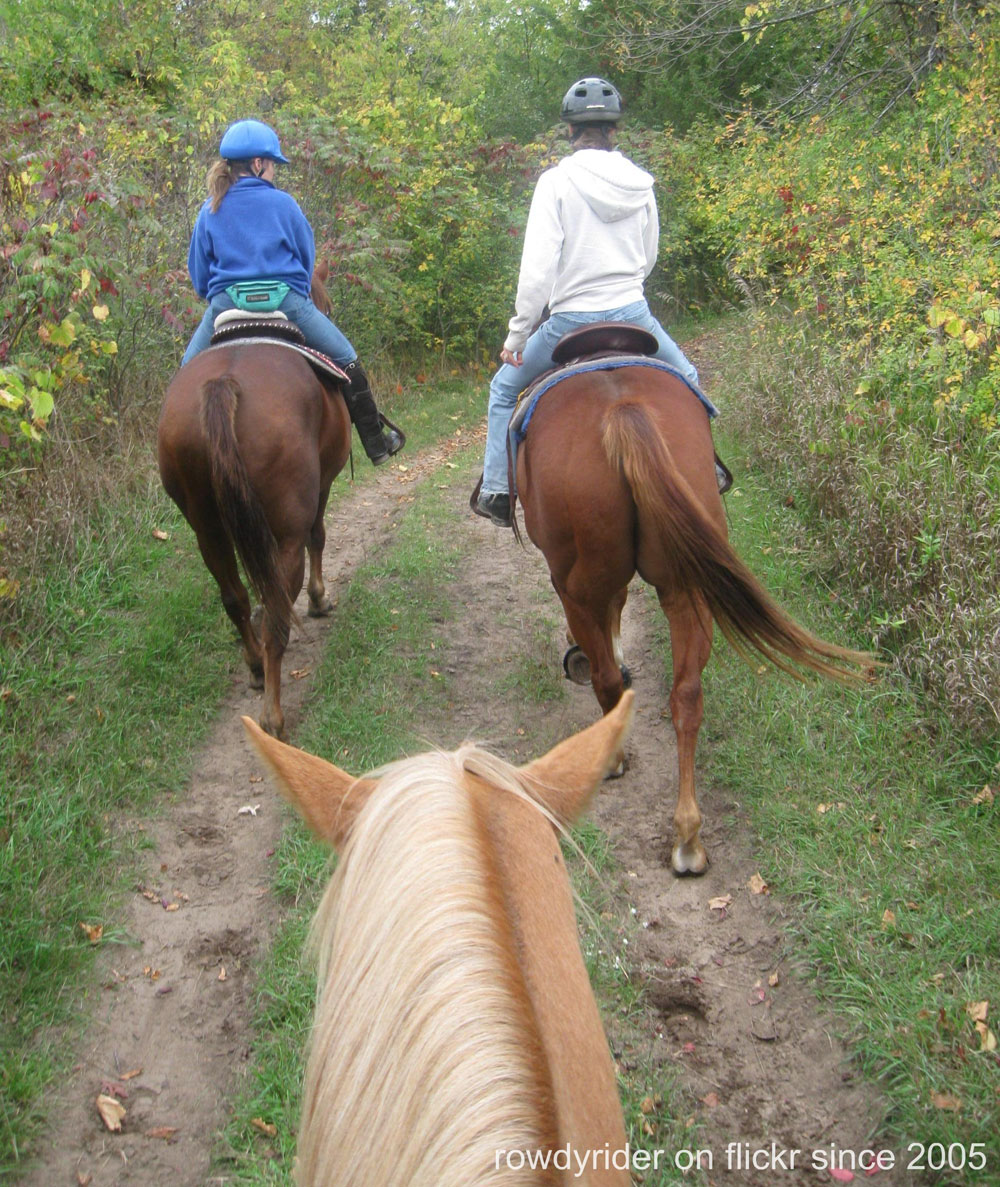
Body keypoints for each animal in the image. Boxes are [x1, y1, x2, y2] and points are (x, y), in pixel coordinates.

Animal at [156, 286, 351, 735]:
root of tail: (224, 383)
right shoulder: (322, 489)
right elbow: (319, 537)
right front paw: (319, 599)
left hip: (207, 529)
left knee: (234, 597)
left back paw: (256, 668)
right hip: (284, 534)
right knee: (277, 613)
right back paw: (272, 717)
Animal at [515, 360, 864, 873]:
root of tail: (622, 411)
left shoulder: (569, 583)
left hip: (579, 581)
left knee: (605, 678)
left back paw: (613, 758)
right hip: (687, 587)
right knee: (687, 696)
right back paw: (688, 838)